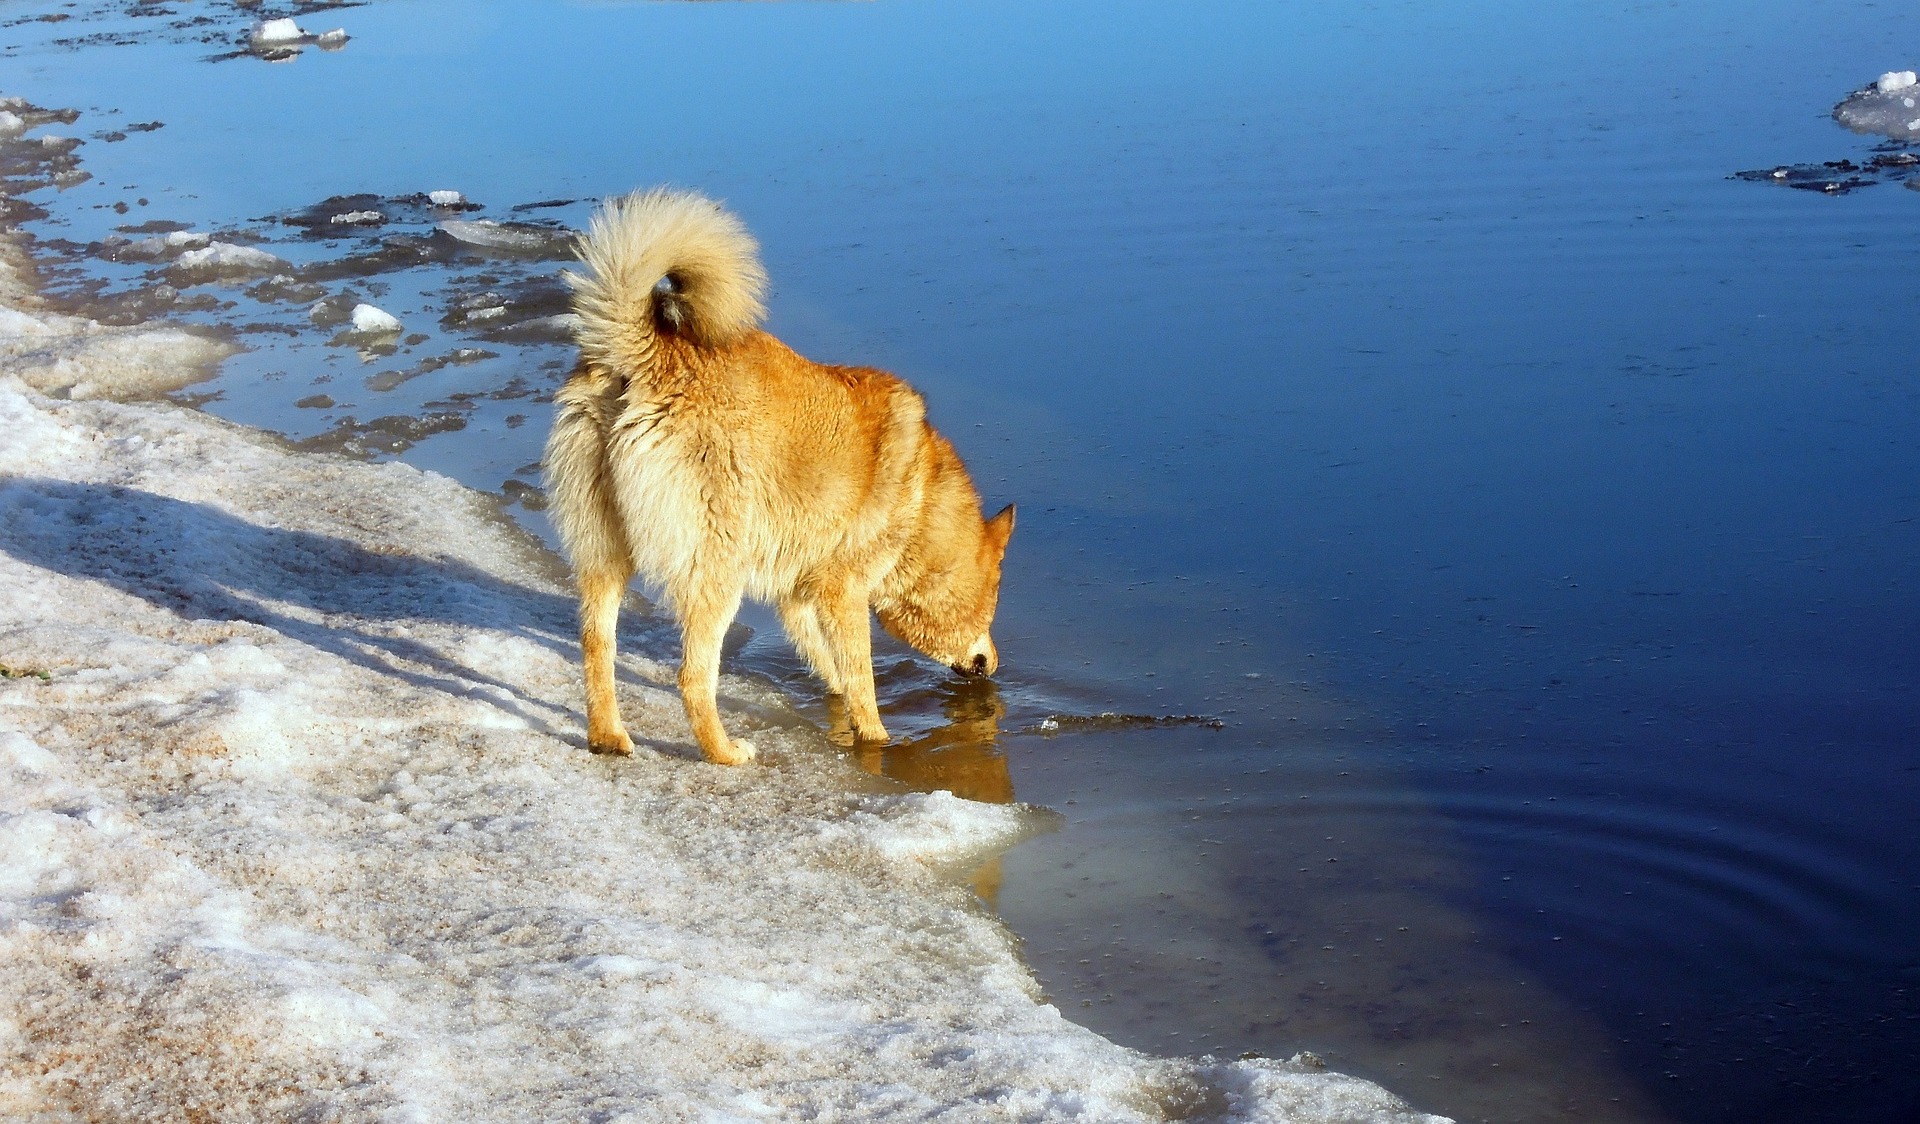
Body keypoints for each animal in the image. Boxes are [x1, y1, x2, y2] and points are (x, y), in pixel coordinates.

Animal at [545, 190, 1021, 760]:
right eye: (993, 601)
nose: (993, 665)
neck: (922, 503)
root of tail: (650, 353)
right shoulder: (843, 591)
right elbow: (861, 681)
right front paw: (877, 741)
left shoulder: (800, 592)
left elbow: (830, 666)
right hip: (717, 568)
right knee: (692, 677)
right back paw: (725, 752)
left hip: (603, 552)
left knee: (596, 644)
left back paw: (608, 736)